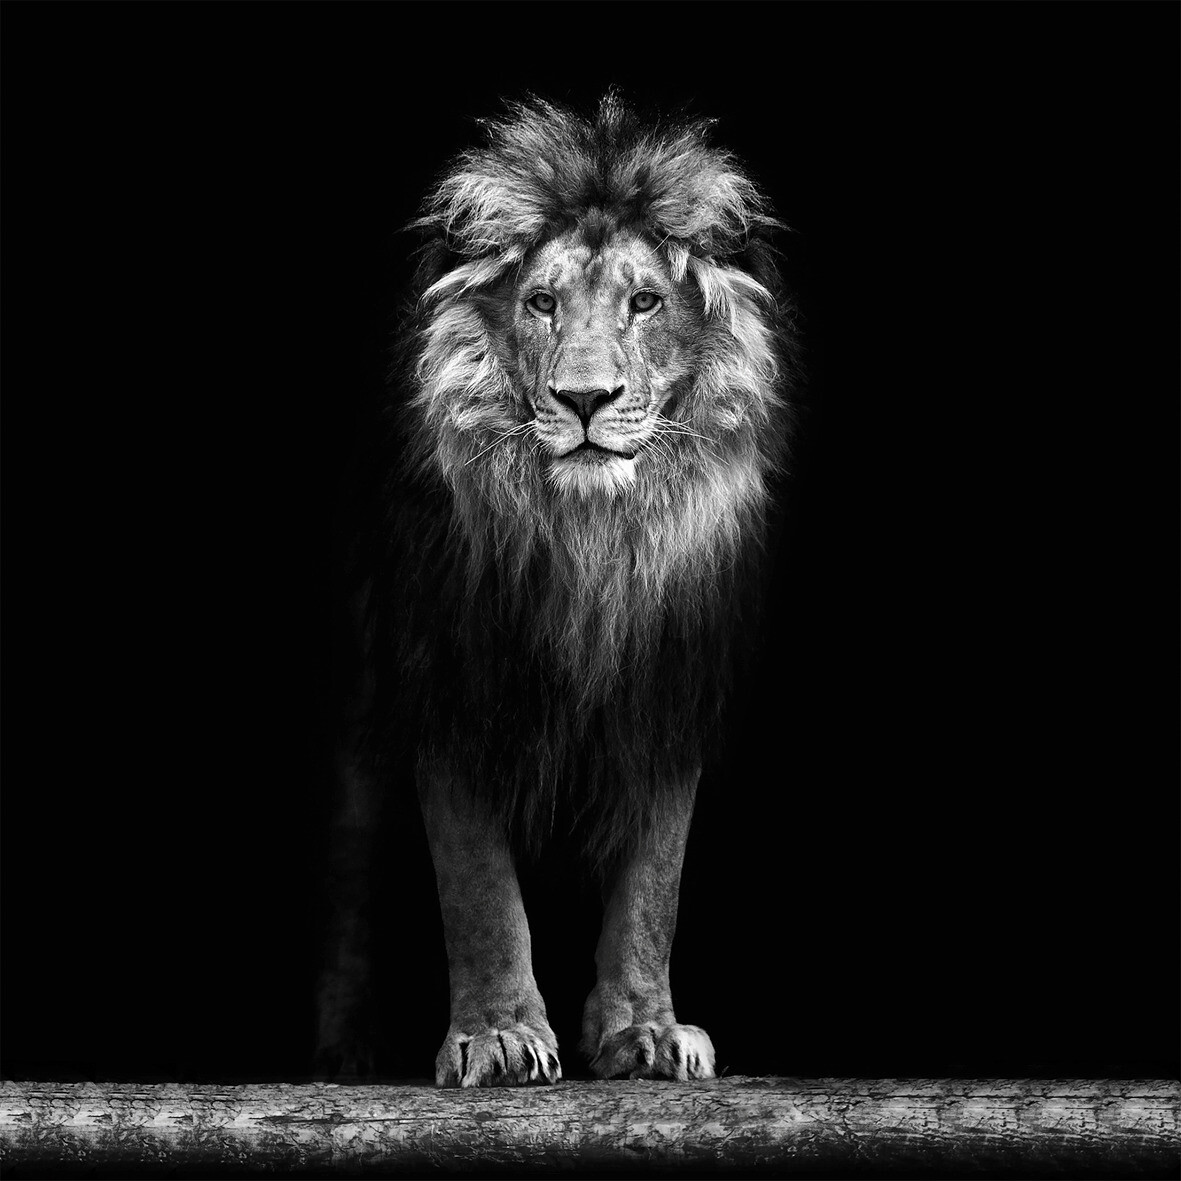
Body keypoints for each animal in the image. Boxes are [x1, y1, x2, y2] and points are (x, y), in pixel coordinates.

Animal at [315, 92, 795, 1087]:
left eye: (644, 302)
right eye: (541, 303)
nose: (583, 399)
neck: (590, 544)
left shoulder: (667, 690)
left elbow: (654, 883)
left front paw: (646, 1030)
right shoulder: (451, 678)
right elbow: (479, 888)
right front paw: (497, 1035)